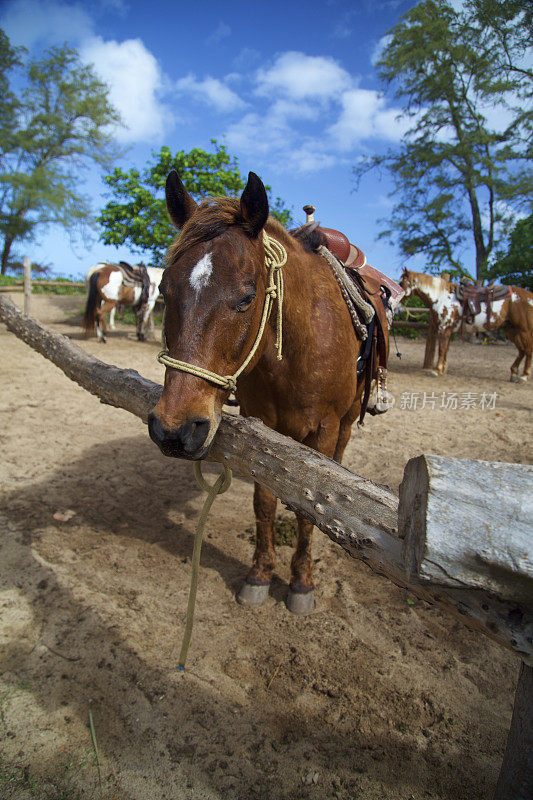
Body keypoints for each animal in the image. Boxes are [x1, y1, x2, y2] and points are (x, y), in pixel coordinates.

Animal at [149, 172, 366, 616]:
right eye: (164, 289)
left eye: (248, 297)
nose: (175, 430)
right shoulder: (261, 426)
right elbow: (264, 503)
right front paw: (260, 574)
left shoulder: (324, 429)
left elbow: (310, 511)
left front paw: (302, 582)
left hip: (347, 422)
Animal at [400, 268, 532, 382]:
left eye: (401, 283)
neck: (441, 297)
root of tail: (529, 296)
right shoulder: (448, 331)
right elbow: (446, 350)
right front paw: (443, 369)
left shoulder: (444, 330)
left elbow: (441, 350)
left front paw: (436, 371)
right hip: (511, 330)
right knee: (522, 351)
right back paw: (514, 373)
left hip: (524, 331)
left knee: (528, 350)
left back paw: (524, 376)